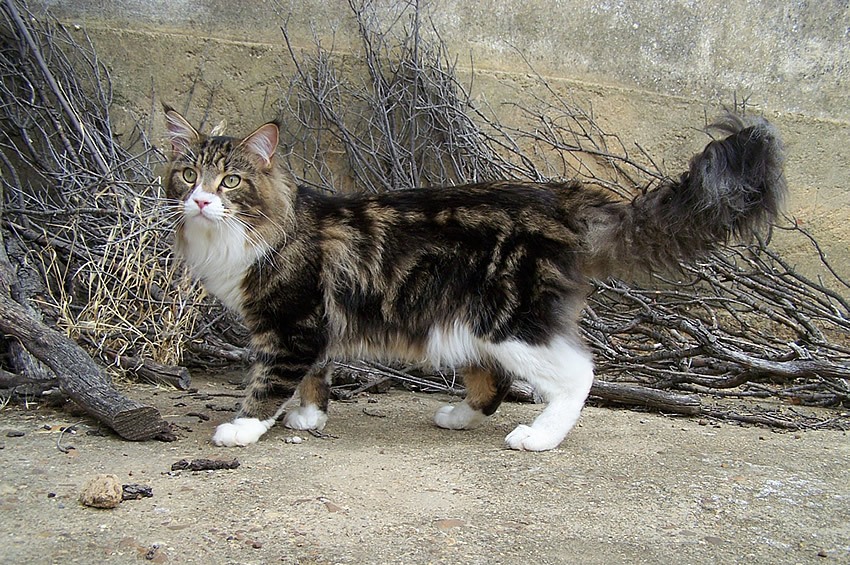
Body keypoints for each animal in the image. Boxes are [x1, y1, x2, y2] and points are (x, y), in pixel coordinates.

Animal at [162, 104, 784, 450]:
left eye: (231, 181)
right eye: (187, 175)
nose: (199, 201)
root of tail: (560, 198)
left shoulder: (292, 324)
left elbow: (268, 381)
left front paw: (245, 428)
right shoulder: (314, 326)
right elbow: (314, 376)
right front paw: (309, 417)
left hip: (507, 322)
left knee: (577, 374)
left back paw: (539, 438)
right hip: (466, 325)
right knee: (493, 386)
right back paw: (457, 416)